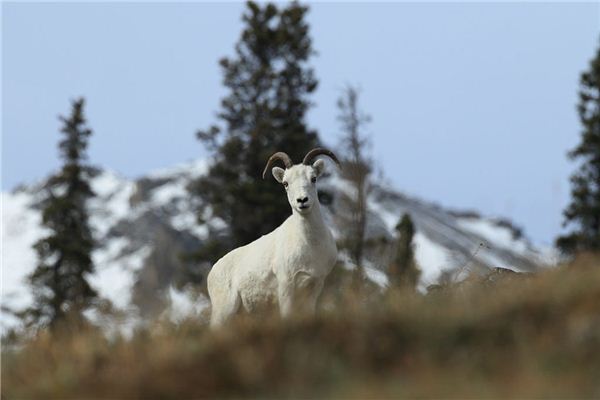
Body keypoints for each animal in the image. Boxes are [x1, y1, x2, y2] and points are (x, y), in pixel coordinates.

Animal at [207, 148, 340, 326]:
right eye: (285, 183)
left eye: (313, 178)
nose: (302, 200)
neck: (310, 245)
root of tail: (212, 273)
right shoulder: (286, 288)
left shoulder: (314, 288)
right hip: (223, 313)